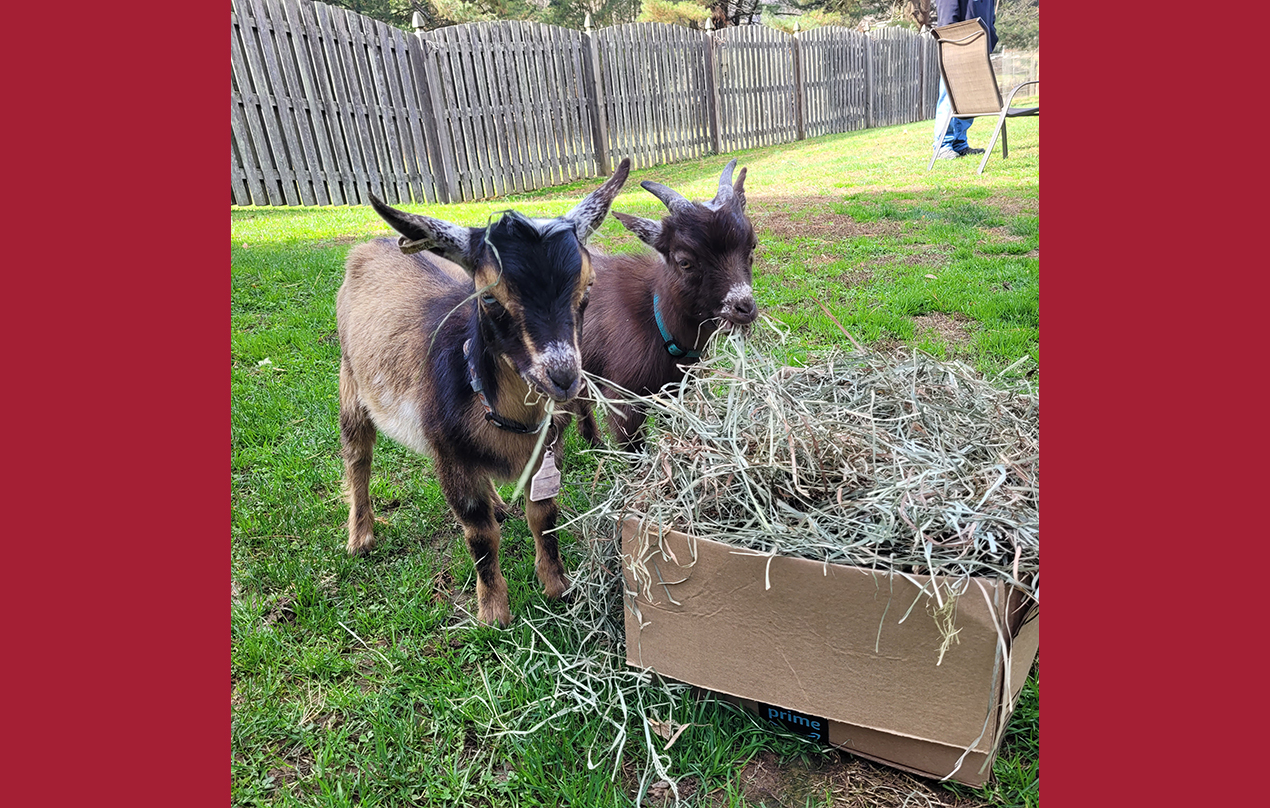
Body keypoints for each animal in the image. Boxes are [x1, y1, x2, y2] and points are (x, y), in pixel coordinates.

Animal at [340, 156, 632, 625]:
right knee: (357, 457)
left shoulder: (548, 451)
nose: (563, 377)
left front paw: (557, 586)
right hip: (351, 384)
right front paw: (494, 612)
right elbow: (479, 534)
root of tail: (369, 246)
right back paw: (361, 536)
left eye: (587, 287)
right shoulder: (450, 456)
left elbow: (544, 516)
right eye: (490, 298)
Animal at [574, 160, 751, 452]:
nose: (744, 307)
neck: (655, 318)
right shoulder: (623, 400)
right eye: (684, 262)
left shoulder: (674, 391)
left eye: (752, 247)